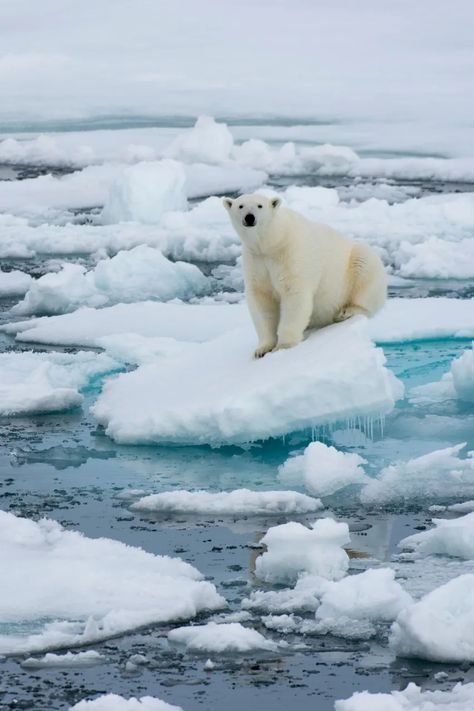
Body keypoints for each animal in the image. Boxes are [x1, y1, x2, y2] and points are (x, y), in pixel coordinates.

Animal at [225, 193, 386, 356]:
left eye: (260, 205)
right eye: (241, 206)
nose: (249, 217)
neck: (271, 242)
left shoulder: (290, 253)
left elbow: (294, 295)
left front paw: (284, 345)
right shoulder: (256, 260)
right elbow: (262, 300)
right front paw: (262, 349)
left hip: (355, 264)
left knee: (365, 274)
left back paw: (346, 311)